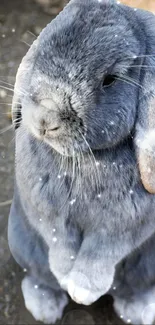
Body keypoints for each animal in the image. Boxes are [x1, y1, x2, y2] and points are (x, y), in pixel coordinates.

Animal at [8, 0, 155, 322]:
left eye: (109, 80)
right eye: (40, 51)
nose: (45, 118)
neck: (84, 159)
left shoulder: (124, 227)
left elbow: (102, 251)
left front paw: (83, 290)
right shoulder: (46, 213)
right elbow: (59, 241)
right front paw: (66, 276)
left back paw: (138, 310)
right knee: (38, 277)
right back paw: (45, 308)